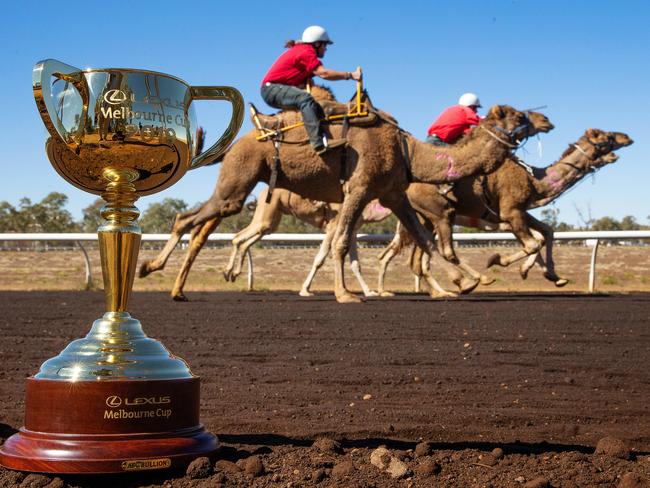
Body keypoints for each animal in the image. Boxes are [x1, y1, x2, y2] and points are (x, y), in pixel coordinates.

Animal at [220, 187, 388, 296]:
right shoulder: (333, 226)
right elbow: (319, 259)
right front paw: (305, 290)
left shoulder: (353, 231)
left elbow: (355, 264)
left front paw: (369, 292)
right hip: (267, 211)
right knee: (238, 238)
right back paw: (228, 272)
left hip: (271, 220)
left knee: (248, 239)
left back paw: (234, 273)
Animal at [374, 127, 632, 294]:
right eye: (607, 136)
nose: (627, 137)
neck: (535, 180)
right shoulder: (510, 212)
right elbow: (533, 243)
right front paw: (498, 260)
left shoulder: (516, 212)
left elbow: (546, 232)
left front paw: (553, 276)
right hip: (439, 215)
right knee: (438, 252)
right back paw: (474, 280)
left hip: (424, 220)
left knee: (419, 258)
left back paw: (443, 291)